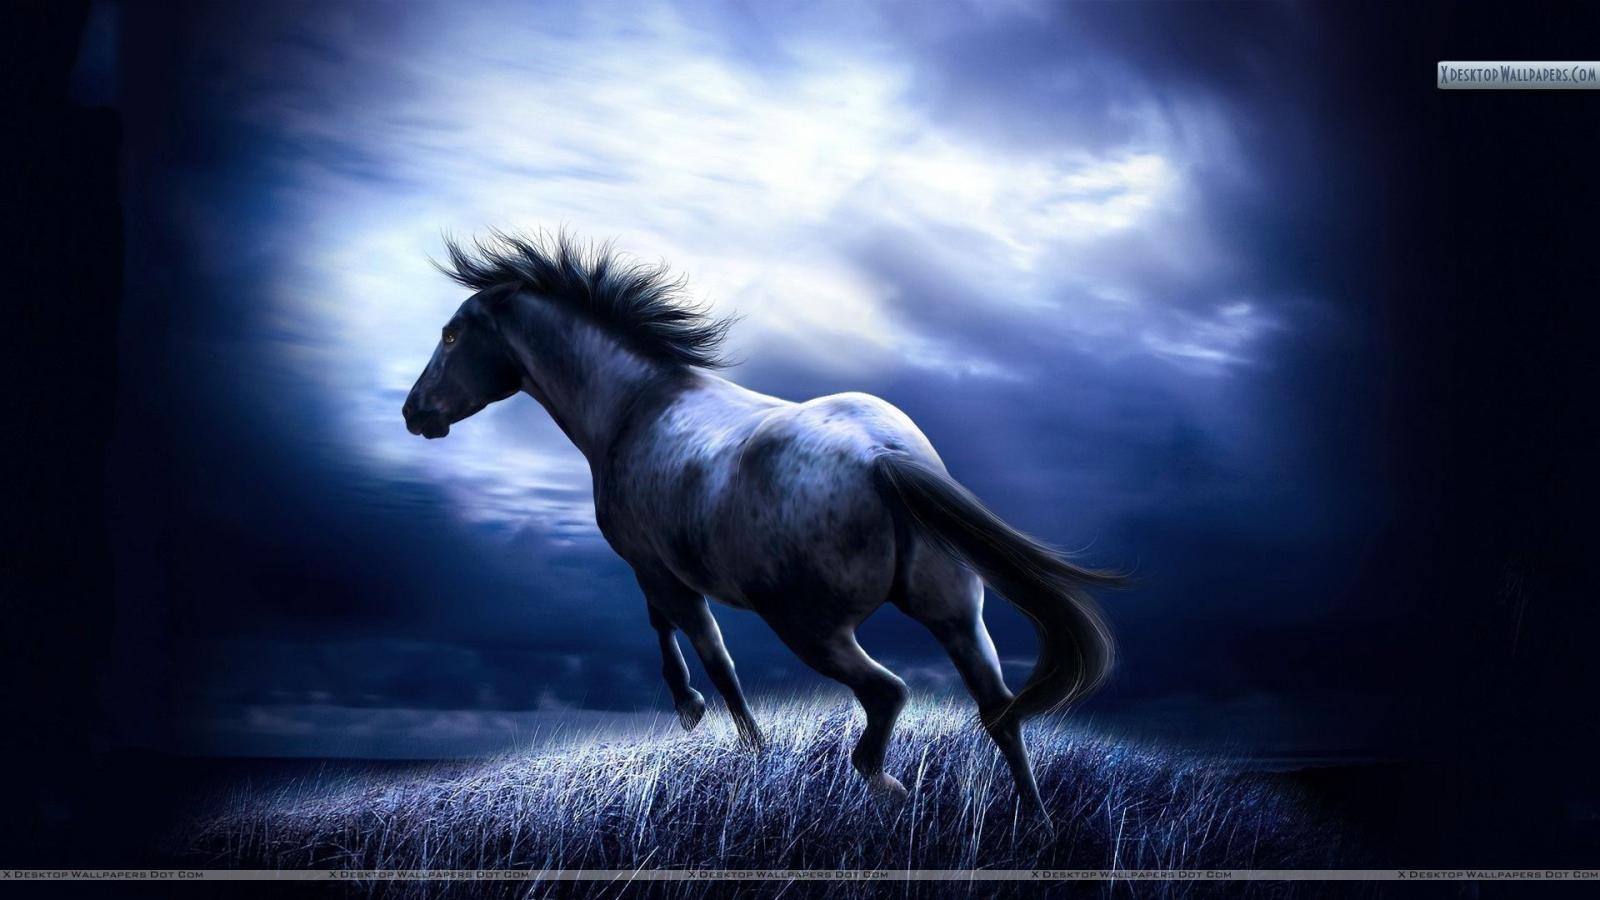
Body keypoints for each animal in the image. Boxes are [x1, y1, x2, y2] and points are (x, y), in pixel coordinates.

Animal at [402, 231, 1123, 812]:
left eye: (451, 335)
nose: (414, 413)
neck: (636, 405)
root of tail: (886, 458)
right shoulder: (661, 573)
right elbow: (678, 634)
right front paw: (705, 719)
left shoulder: (657, 570)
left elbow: (707, 652)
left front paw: (724, 730)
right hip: (957, 616)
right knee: (999, 713)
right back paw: (1034, 823)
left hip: (810, 627)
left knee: (888, 694)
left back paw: (886, 786)